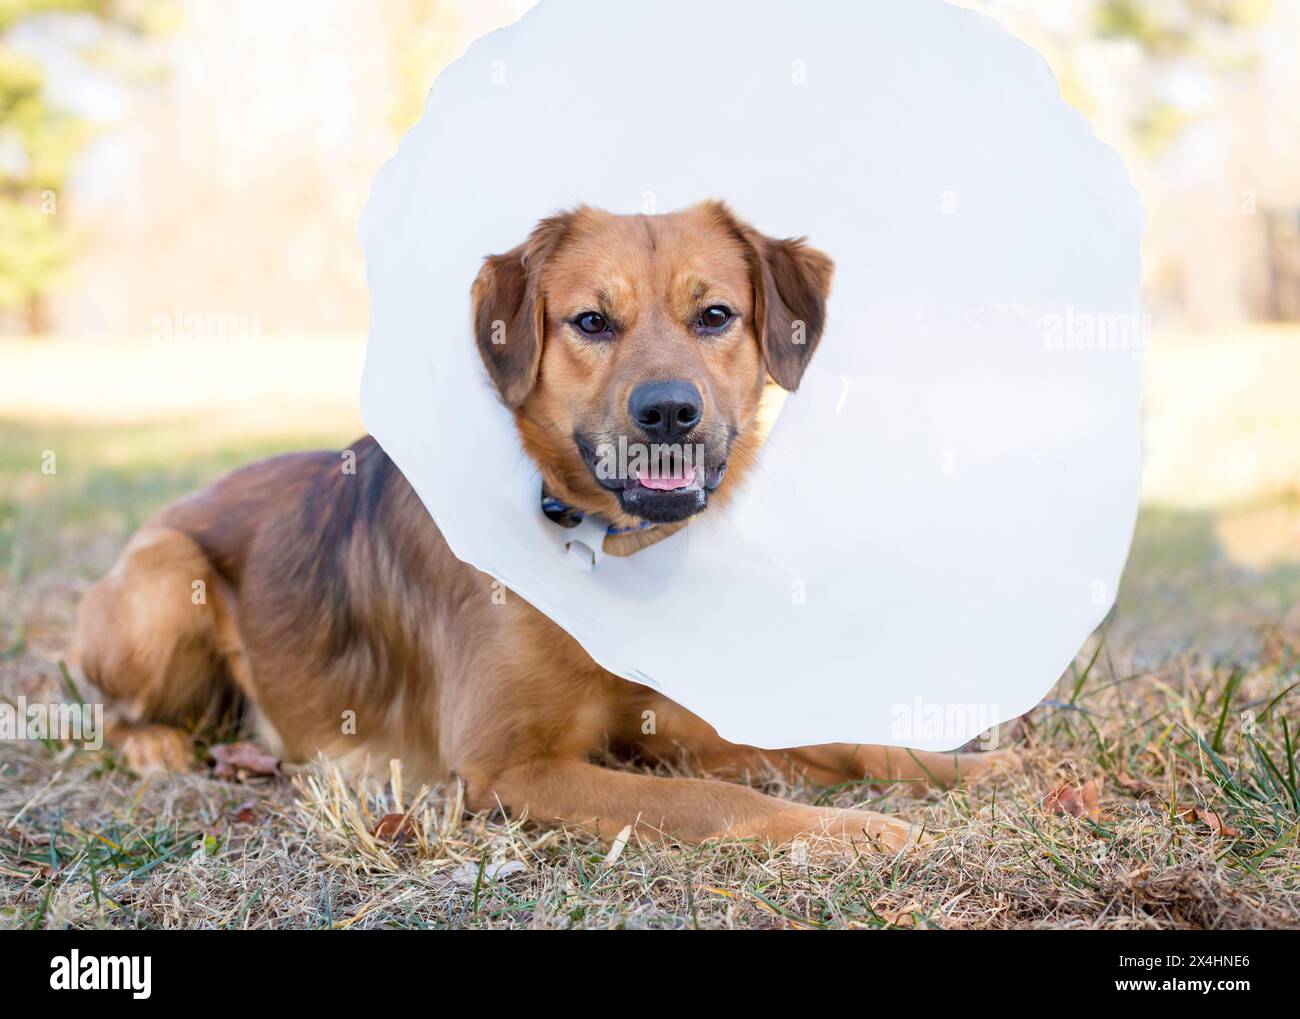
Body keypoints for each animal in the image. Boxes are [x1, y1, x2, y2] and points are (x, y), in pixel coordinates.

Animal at [73, 198, 1003, 852]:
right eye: (592, 320)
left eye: (715, 315)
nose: (669, 412)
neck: (596, 541)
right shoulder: (507, 766)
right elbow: (715, 798)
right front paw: (862, 831)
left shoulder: (671, 723)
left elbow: (844, 742)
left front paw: (987, 764)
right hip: (166, 578)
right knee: (111, 709)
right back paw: (157, 746)